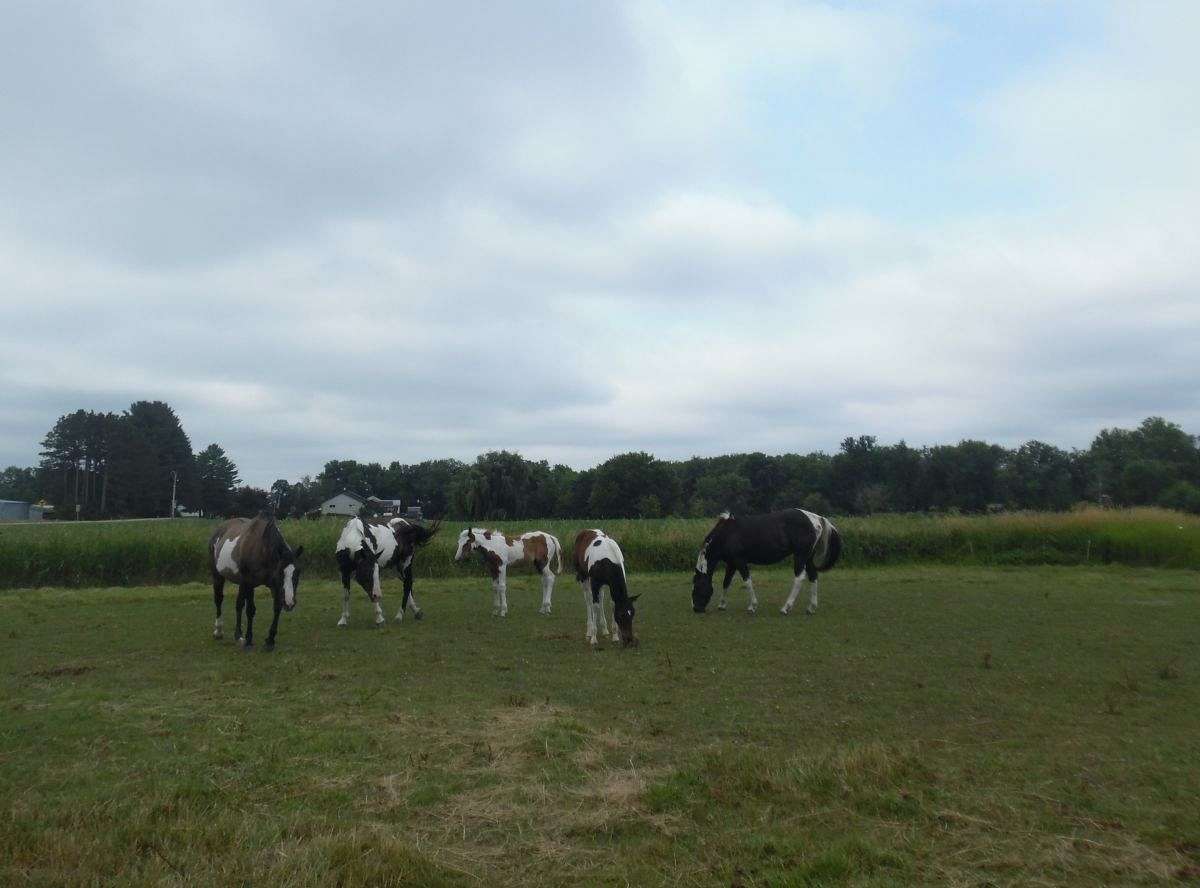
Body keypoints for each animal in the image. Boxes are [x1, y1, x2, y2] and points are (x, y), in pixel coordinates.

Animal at [206, 508, 302, 648]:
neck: (262, 549)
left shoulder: (274, 586)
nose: (289, 603)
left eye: (297, 573)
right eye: (280, 573)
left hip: (241, 583)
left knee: (239, 604)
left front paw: (270, 640)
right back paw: (219, 631)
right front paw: (249, 639)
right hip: (218, 576)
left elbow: (276, 608)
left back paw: (238, 635)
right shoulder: (250, 582)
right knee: (219, 599)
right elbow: (250, 610)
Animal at [696, 506, 844, 619]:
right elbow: (726, 582)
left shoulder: (740, 561)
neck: (727, 533)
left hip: (800, 556)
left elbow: (747, 581)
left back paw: (785, 608)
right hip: (808, 558)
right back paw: (811, 608)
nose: (696, 608)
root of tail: (816, 518)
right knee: (813, 576)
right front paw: (721, 605)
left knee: (799, 578)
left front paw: (752, 606)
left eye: (698, 585)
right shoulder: (732, 564)